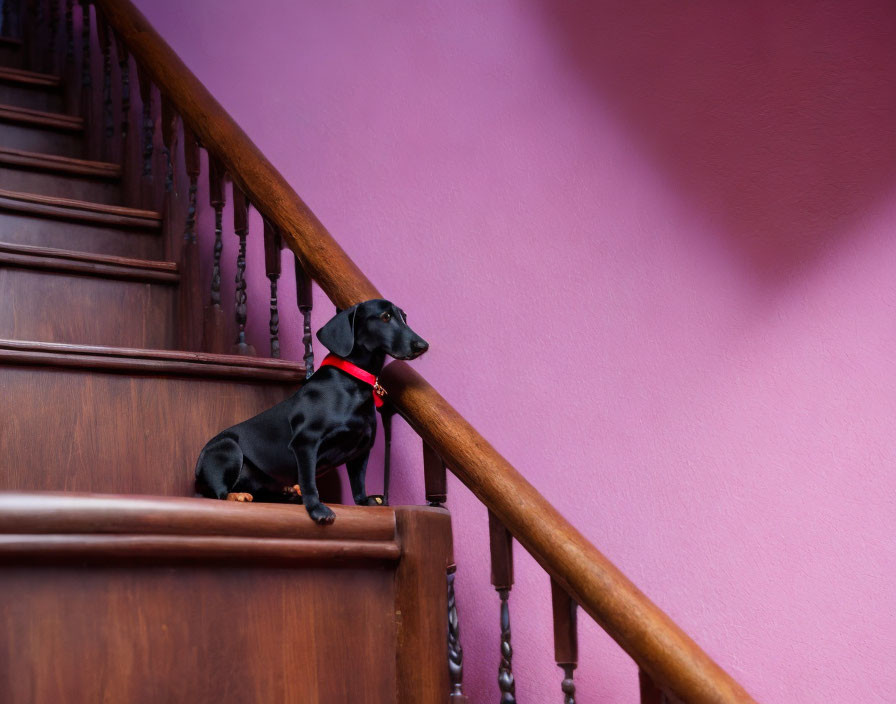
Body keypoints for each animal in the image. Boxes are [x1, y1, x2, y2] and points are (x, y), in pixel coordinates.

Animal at [195, 296, 430, 524]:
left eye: (404, 317)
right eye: (385, 317)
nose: (423, 345)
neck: (353, 384)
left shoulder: (361, 449)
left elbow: (358, 485)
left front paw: (365, 502)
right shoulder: (305, 442)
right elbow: (309, 482)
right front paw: (317, 509)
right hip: (228, 449)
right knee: (219, 493)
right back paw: (238, 495)